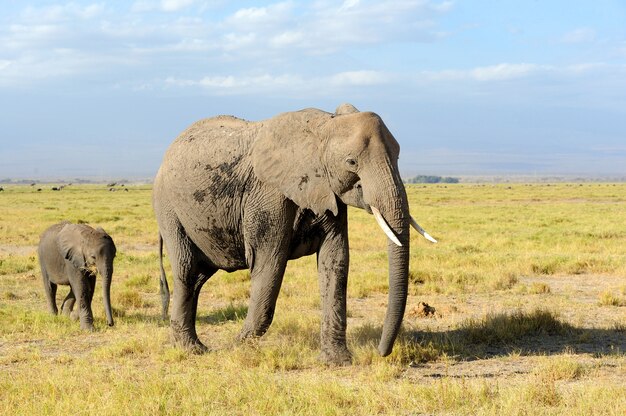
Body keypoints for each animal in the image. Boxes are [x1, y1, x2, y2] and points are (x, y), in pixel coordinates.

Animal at [152, 104, 434, 364]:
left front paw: (337, 361)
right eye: (351, 162)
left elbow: (335, 261)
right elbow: (269, 263)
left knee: (198, 276)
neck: (323, 126)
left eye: (397, 157)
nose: (380, 352)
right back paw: (193, 350)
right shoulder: (267, 196)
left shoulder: (327, 191)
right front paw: (236, 346)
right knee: (187, 271)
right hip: (168, 208)